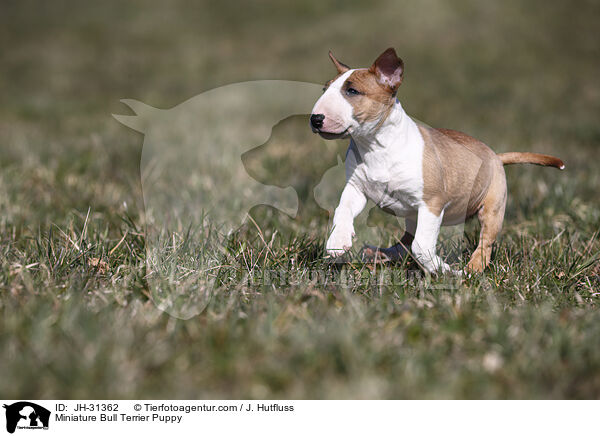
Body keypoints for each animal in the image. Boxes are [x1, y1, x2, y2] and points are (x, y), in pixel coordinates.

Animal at [310, 47, 564, 272]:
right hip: (413, 216)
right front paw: (337, 242)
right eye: (324, 89)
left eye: (353, 91)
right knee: (405, 241)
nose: (315, 119)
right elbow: (343, 208)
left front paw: (443, 270)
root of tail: (495, 156)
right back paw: (380, 253)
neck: (377, 146)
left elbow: (422, 246)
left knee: (484, 242)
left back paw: (472, 270)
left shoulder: (432, 203)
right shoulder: (357, 188)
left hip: (492, 205)